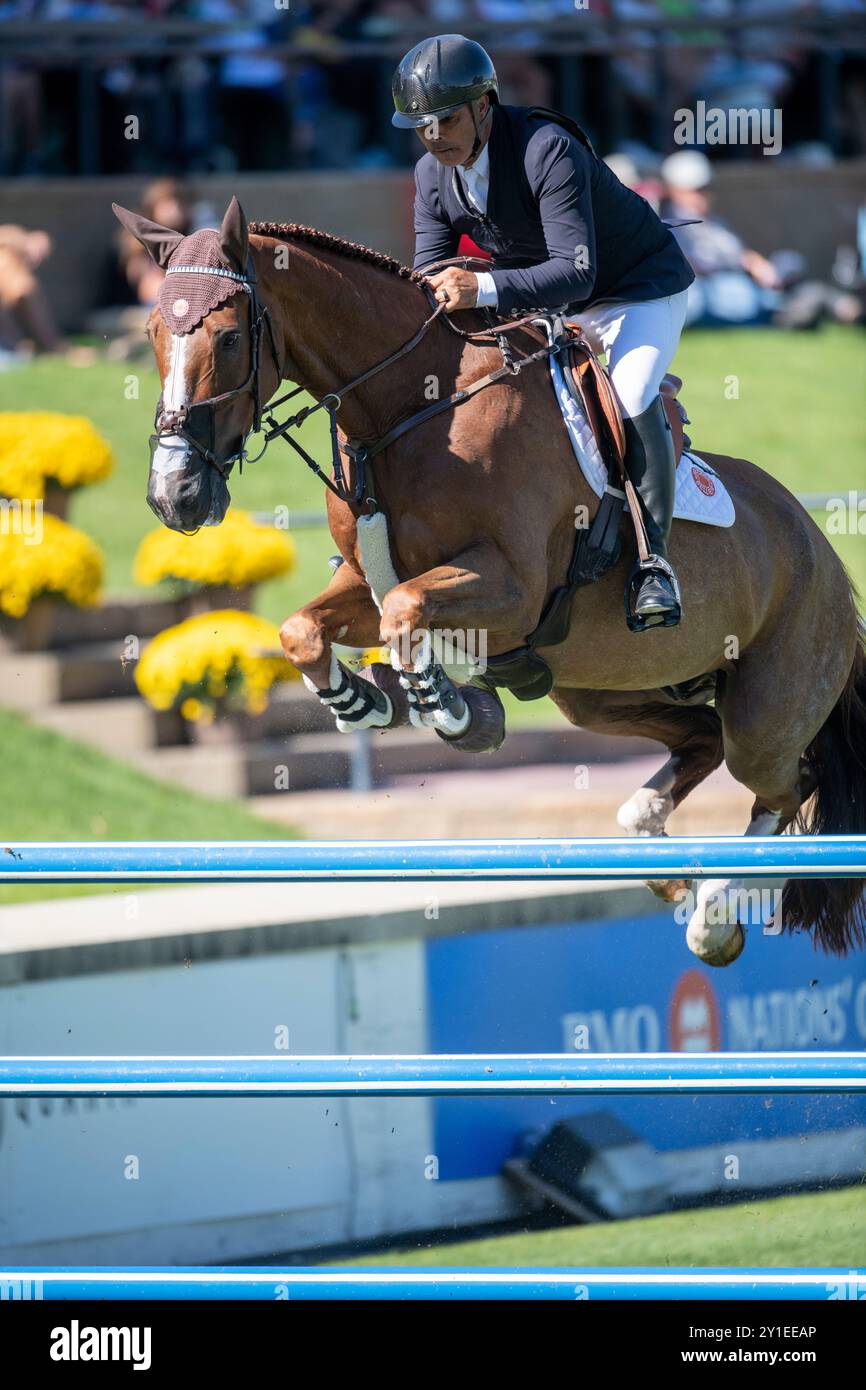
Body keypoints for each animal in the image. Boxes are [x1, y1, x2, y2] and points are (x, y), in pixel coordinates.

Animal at [115, 198, 866, 967]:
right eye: (150, 334)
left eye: (231, 337)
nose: (174, 495)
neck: (403, 411)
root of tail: (823, 554)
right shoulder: (366, 579)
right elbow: (305, 630)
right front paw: (367, 701)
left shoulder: (512, 590)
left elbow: (409, 613)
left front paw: (451, 709)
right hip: (597, 693)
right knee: (703, 741)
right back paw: (661, 857)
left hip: (767, 709)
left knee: (782, 787)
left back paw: (714, 915)